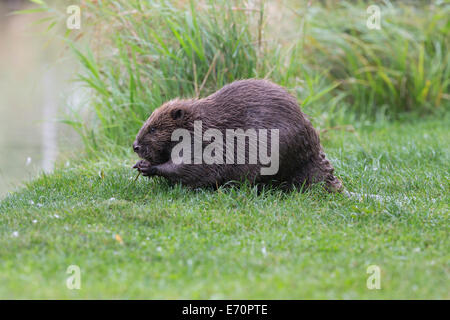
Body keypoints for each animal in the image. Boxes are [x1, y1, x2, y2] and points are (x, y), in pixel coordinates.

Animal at [132, 78, 342, 191]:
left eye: (153, 129)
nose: (135, 146)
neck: (198, 123)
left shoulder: (203, 143)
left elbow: (190, 167)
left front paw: (148, 167)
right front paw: (140, 164)